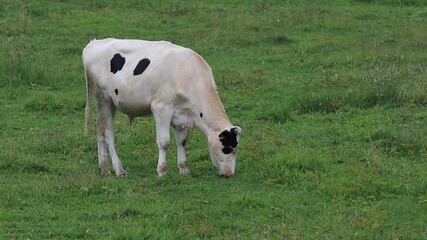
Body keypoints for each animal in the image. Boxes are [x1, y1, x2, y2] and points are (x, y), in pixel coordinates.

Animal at [82, 38, 242, 177]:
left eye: (236, 149)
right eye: (227, 148)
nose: (229, 173)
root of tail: (93, 43)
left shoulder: (182, 114)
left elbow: (182, 141)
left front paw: (184, 170)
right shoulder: (161, 108)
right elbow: (164, 142)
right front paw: (161, 171)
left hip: (108, 103)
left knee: (99, 127)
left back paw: (104, 168)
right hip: (103, 99)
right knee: (108, 134)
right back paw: (118, 169)